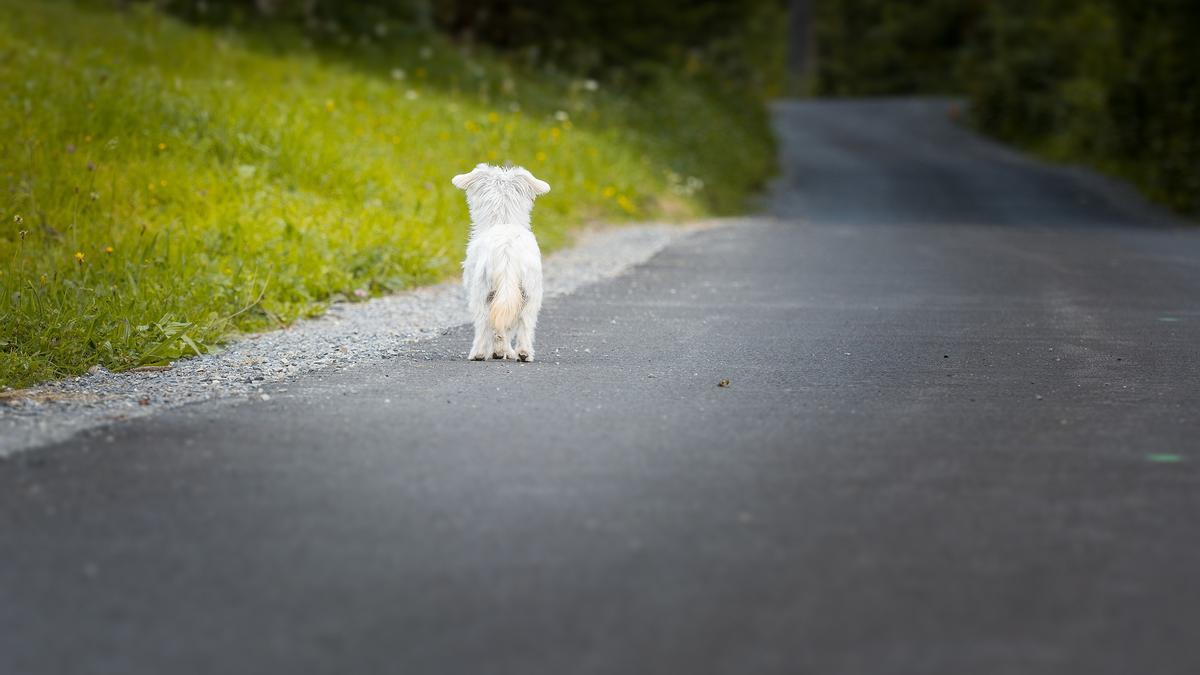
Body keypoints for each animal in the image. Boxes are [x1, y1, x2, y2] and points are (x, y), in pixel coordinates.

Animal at [451, 162, 549, 360]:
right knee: (525, 323)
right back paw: (523, 353)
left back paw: (479, 353)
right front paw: (505, 351)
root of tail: (507, 251)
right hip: (530, 293)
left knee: (483, 323)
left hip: (481, 292)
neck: (503, 220)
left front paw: (499, 351)